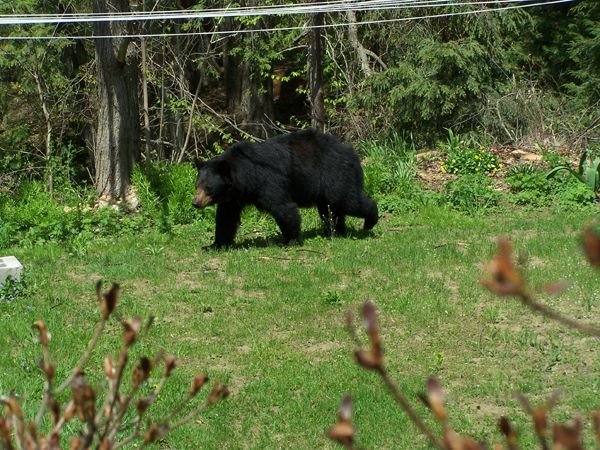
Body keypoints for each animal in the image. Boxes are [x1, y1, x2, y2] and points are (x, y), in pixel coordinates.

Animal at [193, 128, 380, 248]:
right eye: (197, 185)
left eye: (208, 187)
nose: (195, 202)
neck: (246, 175)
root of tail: (351, 152)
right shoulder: (233, 196)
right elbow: (226, 217)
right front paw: (215, 244)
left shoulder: (268, 181)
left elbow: (283, 208)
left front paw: (290, 241)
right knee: (330, 210)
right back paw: (335, 231)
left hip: (334, 174)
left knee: (348, 200)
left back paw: (369, 221)